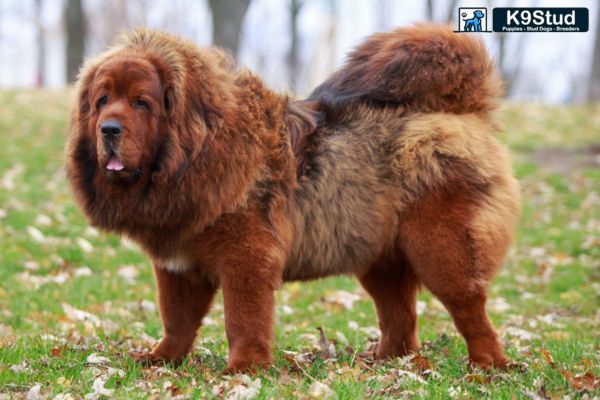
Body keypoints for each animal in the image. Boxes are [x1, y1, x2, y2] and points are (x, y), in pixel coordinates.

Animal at [67, 24, 520, 372]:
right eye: (102, 100)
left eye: (141, 103)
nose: (109, 129)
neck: (194, 155)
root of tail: (464, 111)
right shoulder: (178, 265)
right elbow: (177, 320)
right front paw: (161, 360)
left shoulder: (245, 257)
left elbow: (243, 318)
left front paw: (244, 369)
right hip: (379, 258)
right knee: (401, 319)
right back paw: (386, 361)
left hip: (441, 250)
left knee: (470, 310)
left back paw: (489, 366)